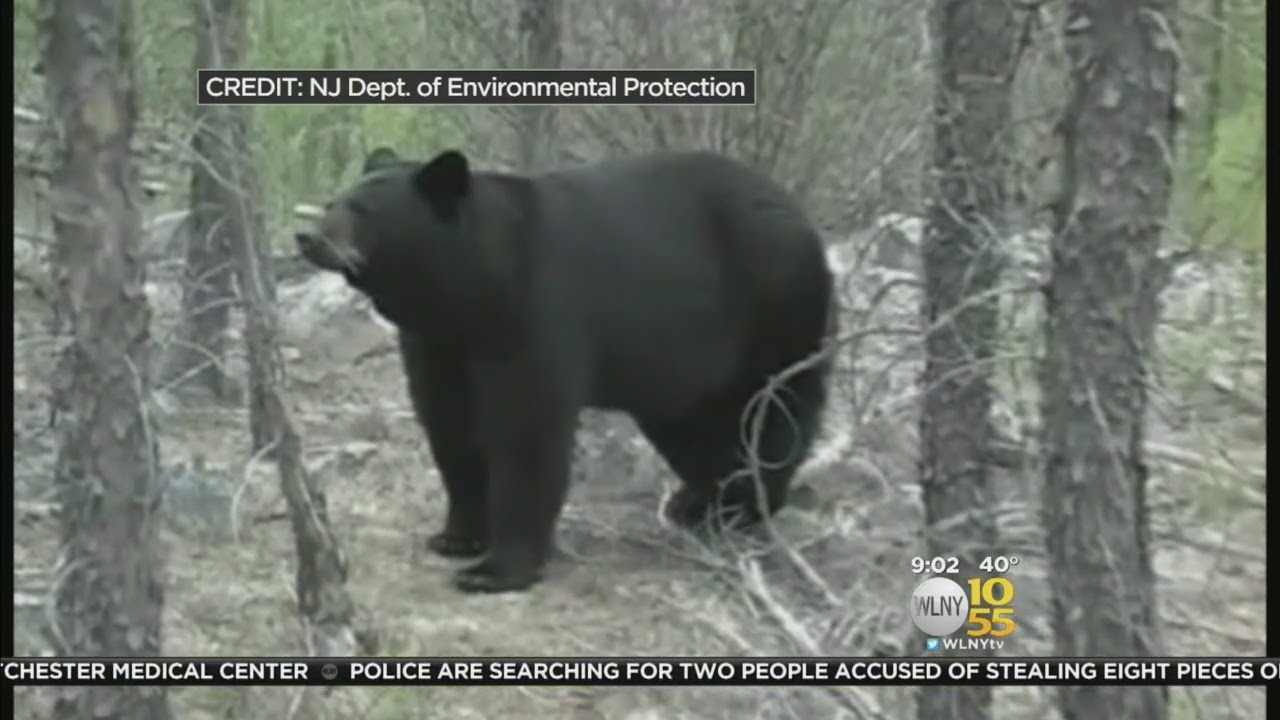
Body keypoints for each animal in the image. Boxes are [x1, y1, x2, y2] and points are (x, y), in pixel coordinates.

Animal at [295, 147, 837, 594]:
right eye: (332, 202)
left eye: (362, 210)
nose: (307, 236)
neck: (473, 291)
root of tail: (803, 218)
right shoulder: (438, 345)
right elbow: (450, 427)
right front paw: (456, 537)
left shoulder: (534, 315)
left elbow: (526, 434)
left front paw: (495, 569)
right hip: (684, 369)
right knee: (694, 427)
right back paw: (699, 500)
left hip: (776, 309)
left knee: (776, 413)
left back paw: (747, 502)